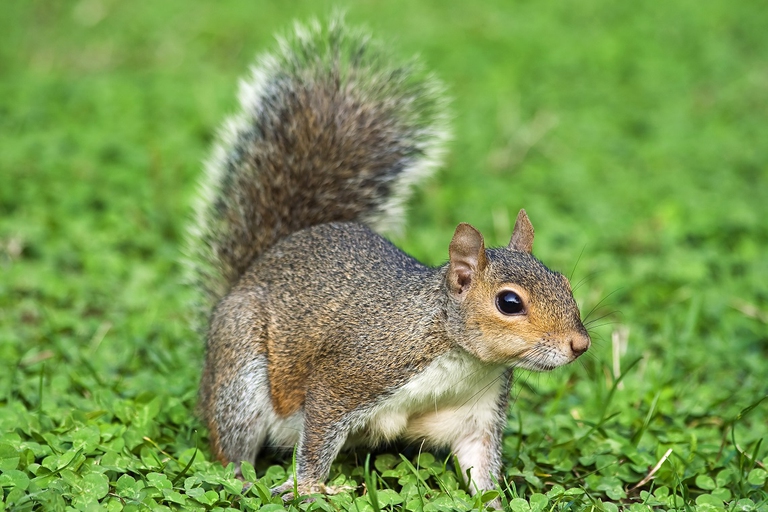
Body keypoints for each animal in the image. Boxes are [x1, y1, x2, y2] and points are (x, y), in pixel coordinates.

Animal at [188, 18, 590, 503]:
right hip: (241, 372)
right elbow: (317, 434)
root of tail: (246, 276)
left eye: (564, 282)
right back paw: (245, 479)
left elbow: (479, 464)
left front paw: (497, 502)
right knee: (231, 443)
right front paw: (310, 488)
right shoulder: (349, 374)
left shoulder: (477, 410)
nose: (580, 344)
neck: (458, 355)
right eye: (509, 303)